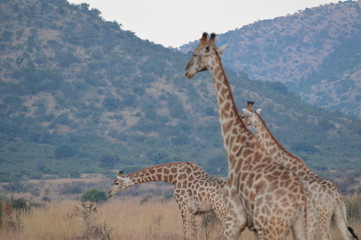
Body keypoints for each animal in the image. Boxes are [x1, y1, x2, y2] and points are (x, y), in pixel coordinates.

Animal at [184, 31, 316, 240]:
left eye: (195, 53)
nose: (187, 71)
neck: (235, 146)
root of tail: (301, 200)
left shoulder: (234, 218)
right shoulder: (253, 226)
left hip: (272, 228)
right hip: (301, 226)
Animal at [239, 101, 358, 240]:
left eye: (243, 116)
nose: (239, 122)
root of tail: (337, 196)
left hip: (323, 216)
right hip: (338, 214)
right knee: (347, 235)